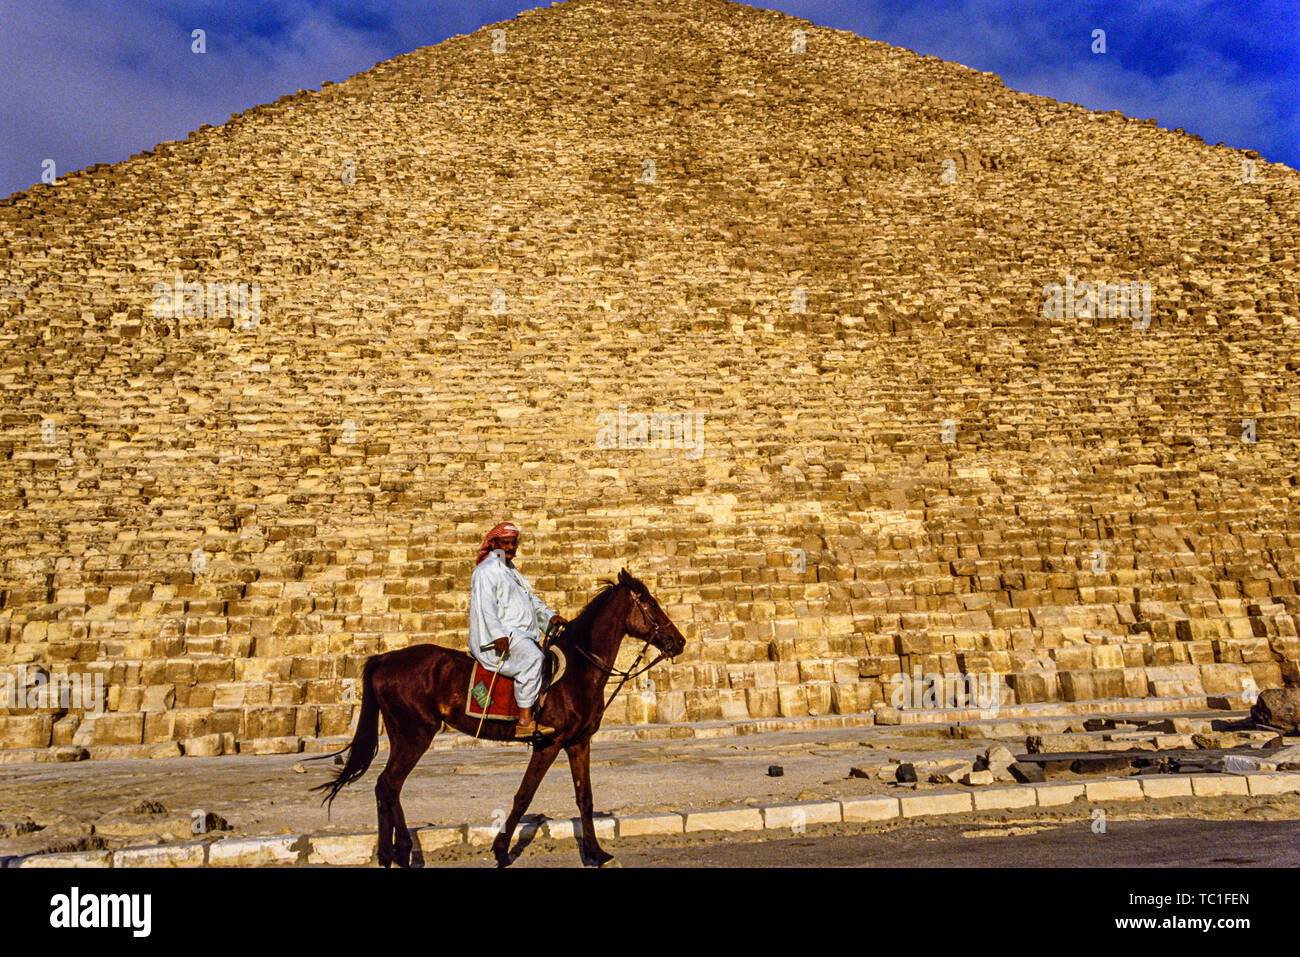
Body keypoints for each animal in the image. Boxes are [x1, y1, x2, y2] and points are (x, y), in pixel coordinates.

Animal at [310, 566, 686, 868]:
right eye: (651, 603)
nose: (679, 641)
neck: (581, 667)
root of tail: (384, 658)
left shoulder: (579, 743)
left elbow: (585, 798)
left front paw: (595, 853)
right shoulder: (548, 743)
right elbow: (524, 795)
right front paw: (501, 850)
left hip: (406, 735)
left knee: (388, 788)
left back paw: (396, 853)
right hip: (415, 735)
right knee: (388, 785)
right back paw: (397, 854)